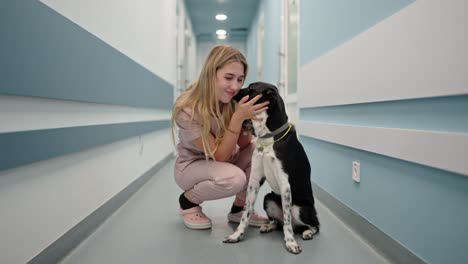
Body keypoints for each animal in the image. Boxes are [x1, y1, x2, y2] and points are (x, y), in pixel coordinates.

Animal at [222, 82, 318, 254]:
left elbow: (287, 221)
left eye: (251, 89)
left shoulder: (285, 185)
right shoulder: (254, 181)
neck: (268, 138)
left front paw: (291, 243)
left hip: (299, 207)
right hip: (269, 198)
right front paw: (236, 235)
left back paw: (307, 232)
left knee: (310, 225)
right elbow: (246, 213)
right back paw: (269, 226)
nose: (235, 92)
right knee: (280, 222)